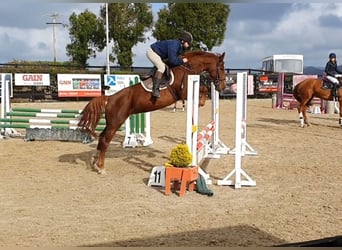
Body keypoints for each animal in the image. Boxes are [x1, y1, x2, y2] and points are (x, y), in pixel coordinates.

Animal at [78, 50, 227, 174]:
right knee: (105, 140)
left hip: (111, 122)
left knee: (101, 138)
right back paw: (101, 167)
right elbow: (203, 88)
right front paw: (201, 101)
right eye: (221, 68)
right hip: (116, 122)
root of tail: (110, 98)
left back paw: (94, 161)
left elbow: (204, 89)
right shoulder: (183, 93)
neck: (187, 68)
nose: (222, 87)